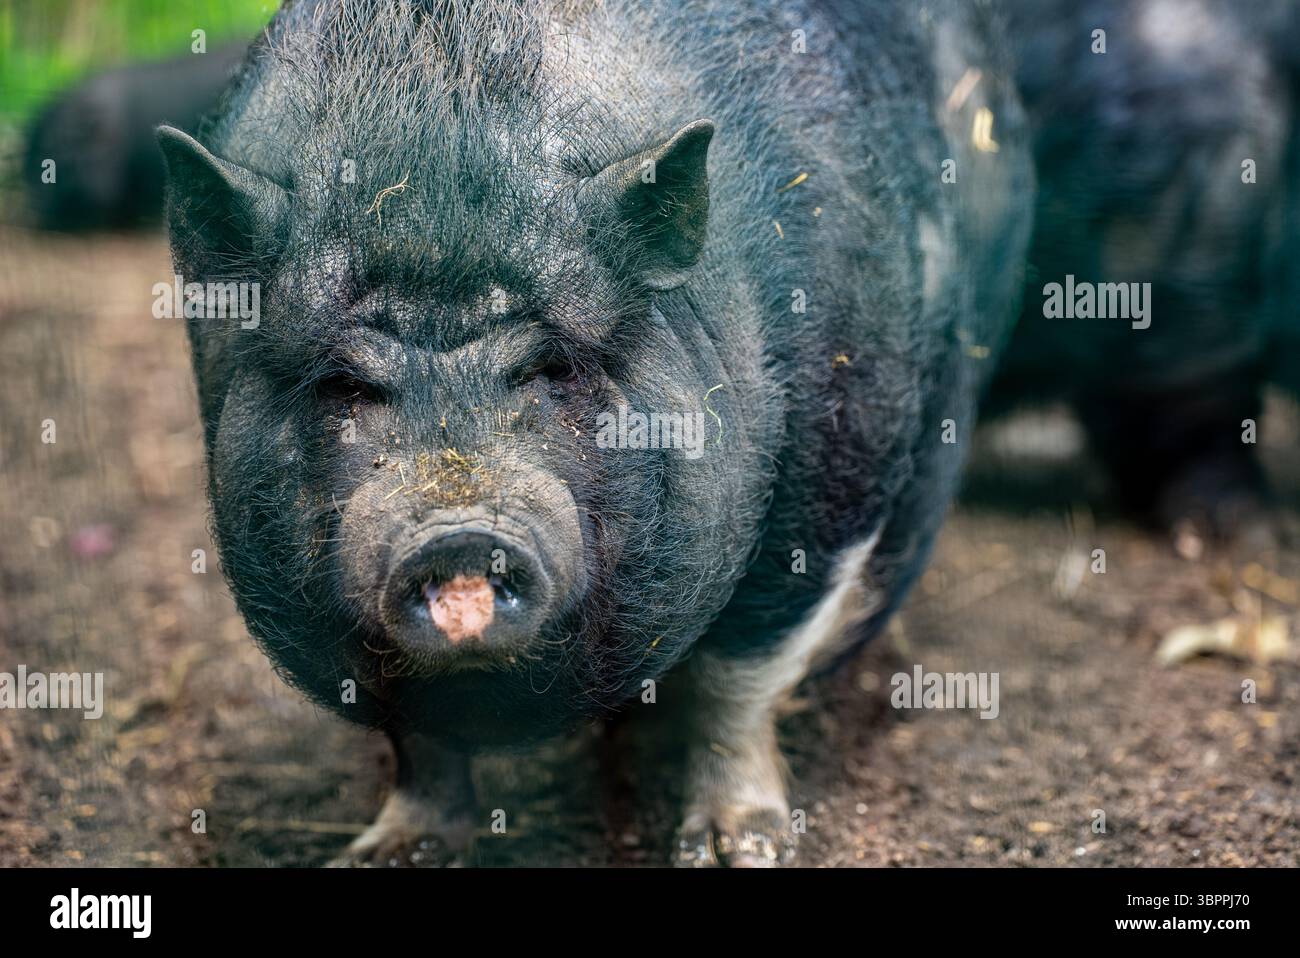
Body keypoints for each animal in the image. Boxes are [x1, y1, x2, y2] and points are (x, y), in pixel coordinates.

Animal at [159, 0, 1032, 866]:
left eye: (553, 365)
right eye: (344, 385)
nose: (457, 531)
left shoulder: (832, 472)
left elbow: (743, 673)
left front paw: (734, 848)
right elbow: (417, 737)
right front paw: (387, 852)